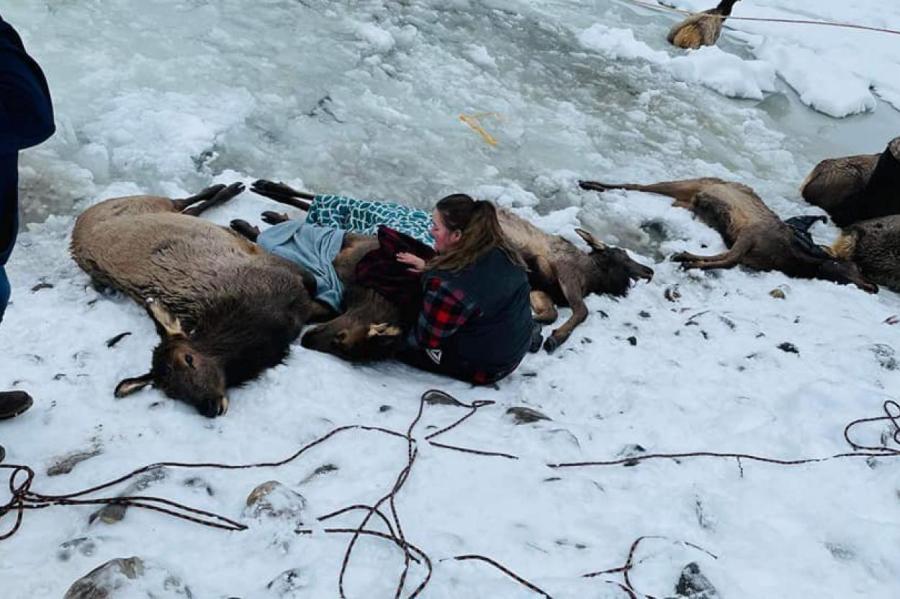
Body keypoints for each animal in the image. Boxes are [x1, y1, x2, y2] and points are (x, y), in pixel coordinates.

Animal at [70, 183, 318, 418]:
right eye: (170, 391)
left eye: (189, 358)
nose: (209, 407)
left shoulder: (287, 271)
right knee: (190, 209)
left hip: (146, 201)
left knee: (182, 201)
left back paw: (227, 188)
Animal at [246, 180, 652, 354]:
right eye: (622, 256)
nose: (647, 271)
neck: (591, 274)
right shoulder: (566, 273)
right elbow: (580, 311)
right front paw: (554, 337)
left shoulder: (545, 286)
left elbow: (552, 310)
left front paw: (542, 327)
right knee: (322, 199)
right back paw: (266, 191)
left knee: (320, 205)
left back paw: (267, 201)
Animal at [576, 178, 880, 292]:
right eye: (853, 266)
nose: (873, 286)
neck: (793, 259)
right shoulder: (748, 235)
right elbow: (726, 259)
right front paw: (685, 257)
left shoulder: (748, 253)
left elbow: (726, 260)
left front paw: (689, 260)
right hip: (685, 182)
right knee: (636, 185)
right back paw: (589, 183)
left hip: (684, 199)